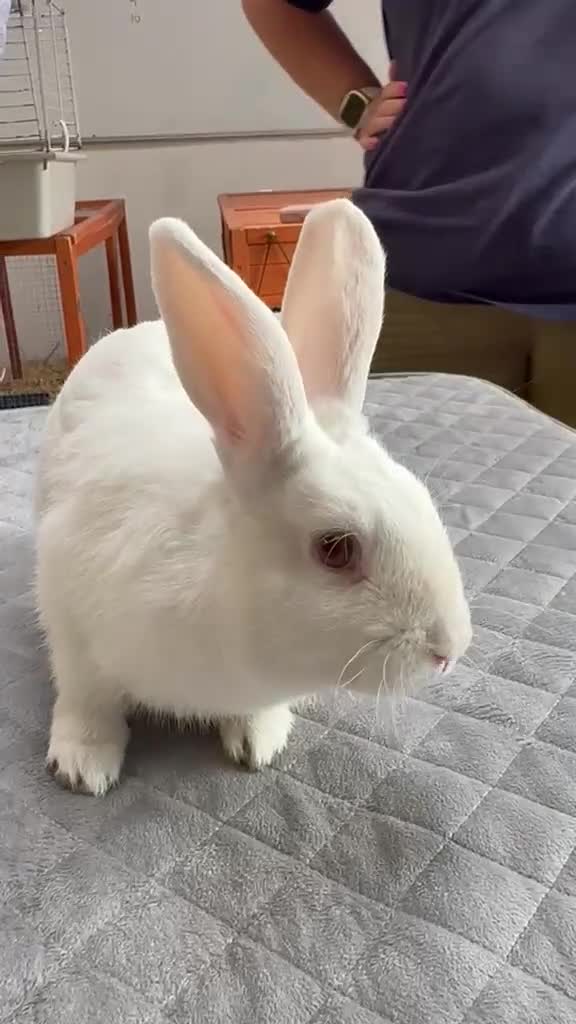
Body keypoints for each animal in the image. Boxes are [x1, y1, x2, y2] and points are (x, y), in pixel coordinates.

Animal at [35, 198, 472, 796]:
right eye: (336, 549)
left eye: (425, 500)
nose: (449, 650)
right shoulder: (69, 618)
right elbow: (86, 699)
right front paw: (83, 767)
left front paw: (259, 741)